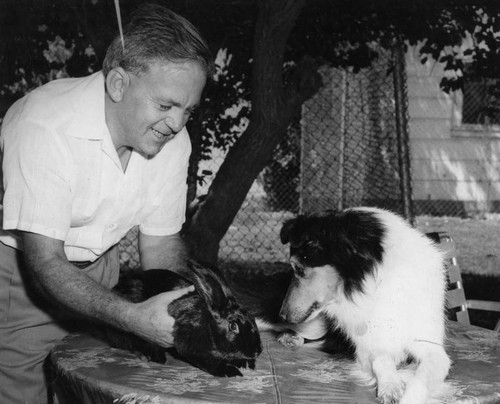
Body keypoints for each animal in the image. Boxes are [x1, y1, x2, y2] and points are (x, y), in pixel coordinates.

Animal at [104, 260, 264, 378]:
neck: (207, 321)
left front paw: (246, 363)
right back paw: (154, 356)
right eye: (233, 326)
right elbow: (208, 360)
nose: (258, 350)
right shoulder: (189, 342)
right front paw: (231, 372)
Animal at [280, 208, 452, 404]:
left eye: (299, 269)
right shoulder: (365, 350)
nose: (281, 315)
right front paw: (390, 386)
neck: (377, 285)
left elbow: (422, 378)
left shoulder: (433, 349)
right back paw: (290, 337)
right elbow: (381, 359)